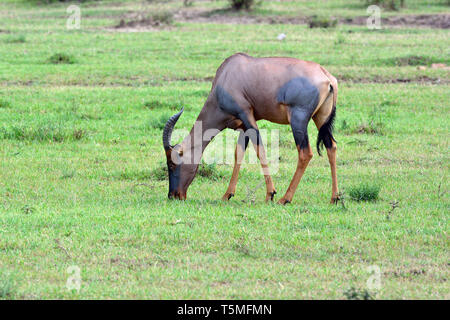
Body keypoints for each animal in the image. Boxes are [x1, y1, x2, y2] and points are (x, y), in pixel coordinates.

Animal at [163, 51, 340, 204]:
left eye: (172, 163)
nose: (173, 195)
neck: (227, 75)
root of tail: (327, 77)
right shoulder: (243, 126)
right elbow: (238, 154)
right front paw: (227, 195)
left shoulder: (247, 116)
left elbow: (260, 150)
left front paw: (270, 194)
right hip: (321, 118)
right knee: (331, 146)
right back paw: (334, 198)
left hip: (298, 119)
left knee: (305, 153)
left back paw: (285, 198)